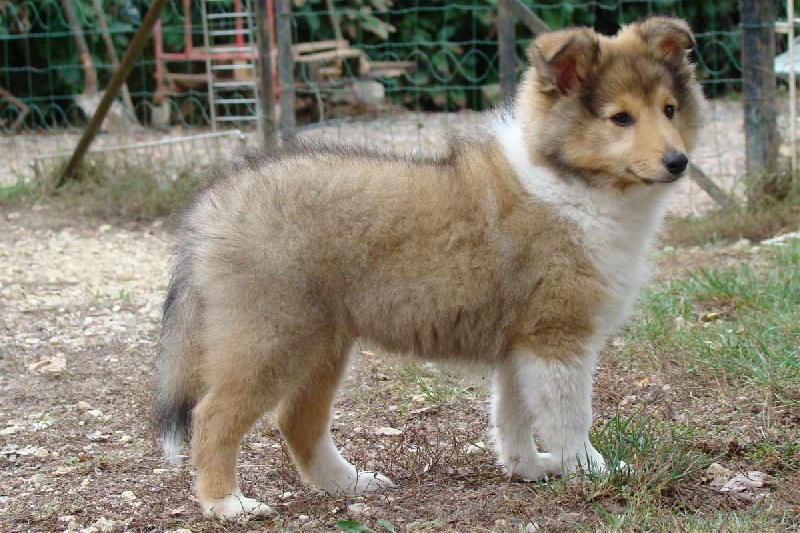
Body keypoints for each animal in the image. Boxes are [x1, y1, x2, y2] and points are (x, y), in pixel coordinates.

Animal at [154, 16, 702, 520]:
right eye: (620, 118)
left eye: (669, 109)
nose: (679, 162)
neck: (572, 183)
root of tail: (211, 206)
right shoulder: (556, 338)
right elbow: (570, 417)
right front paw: (593, 471)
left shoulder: (520, 344)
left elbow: (514, 416)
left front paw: (528, 469)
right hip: (270, 338)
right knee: (214, 415)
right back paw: (227, 503)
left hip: (323, 343)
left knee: (298, 422)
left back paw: (348, 484)